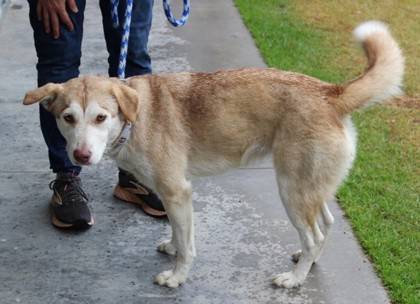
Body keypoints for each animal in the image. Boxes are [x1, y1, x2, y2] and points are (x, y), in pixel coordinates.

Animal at [23, 20, 404, 288]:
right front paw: (172, 247)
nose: (81, 156)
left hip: (292, 189)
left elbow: (188, 245)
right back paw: (304, 263)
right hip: (310, 187)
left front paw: (176, 277)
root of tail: (331, 92)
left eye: (101, 117)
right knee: (325, 224)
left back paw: (295, 279)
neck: (135, 119)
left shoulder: (177, 191)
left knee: (316, 235)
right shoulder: (172, 195)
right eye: (68, 118)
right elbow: (179, 233)